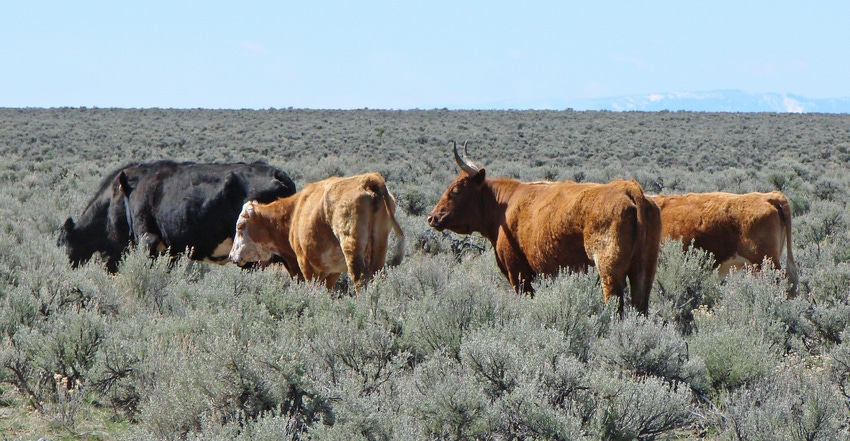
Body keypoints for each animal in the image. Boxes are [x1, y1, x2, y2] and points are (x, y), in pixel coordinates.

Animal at [227, 172, 402, 292]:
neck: (293, 213)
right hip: (379, 248)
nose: (231, 255)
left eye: (240, 226)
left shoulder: (304, 261)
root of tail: (370, 178)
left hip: (351, 247)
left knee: (360, 280)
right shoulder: (333, 271)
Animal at [428, 141, 660, 312]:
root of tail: (627, 187)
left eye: (456, 190)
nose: (432, 217)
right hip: (644, 271)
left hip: (609, 271)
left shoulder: (519, 274)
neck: (504, 205)